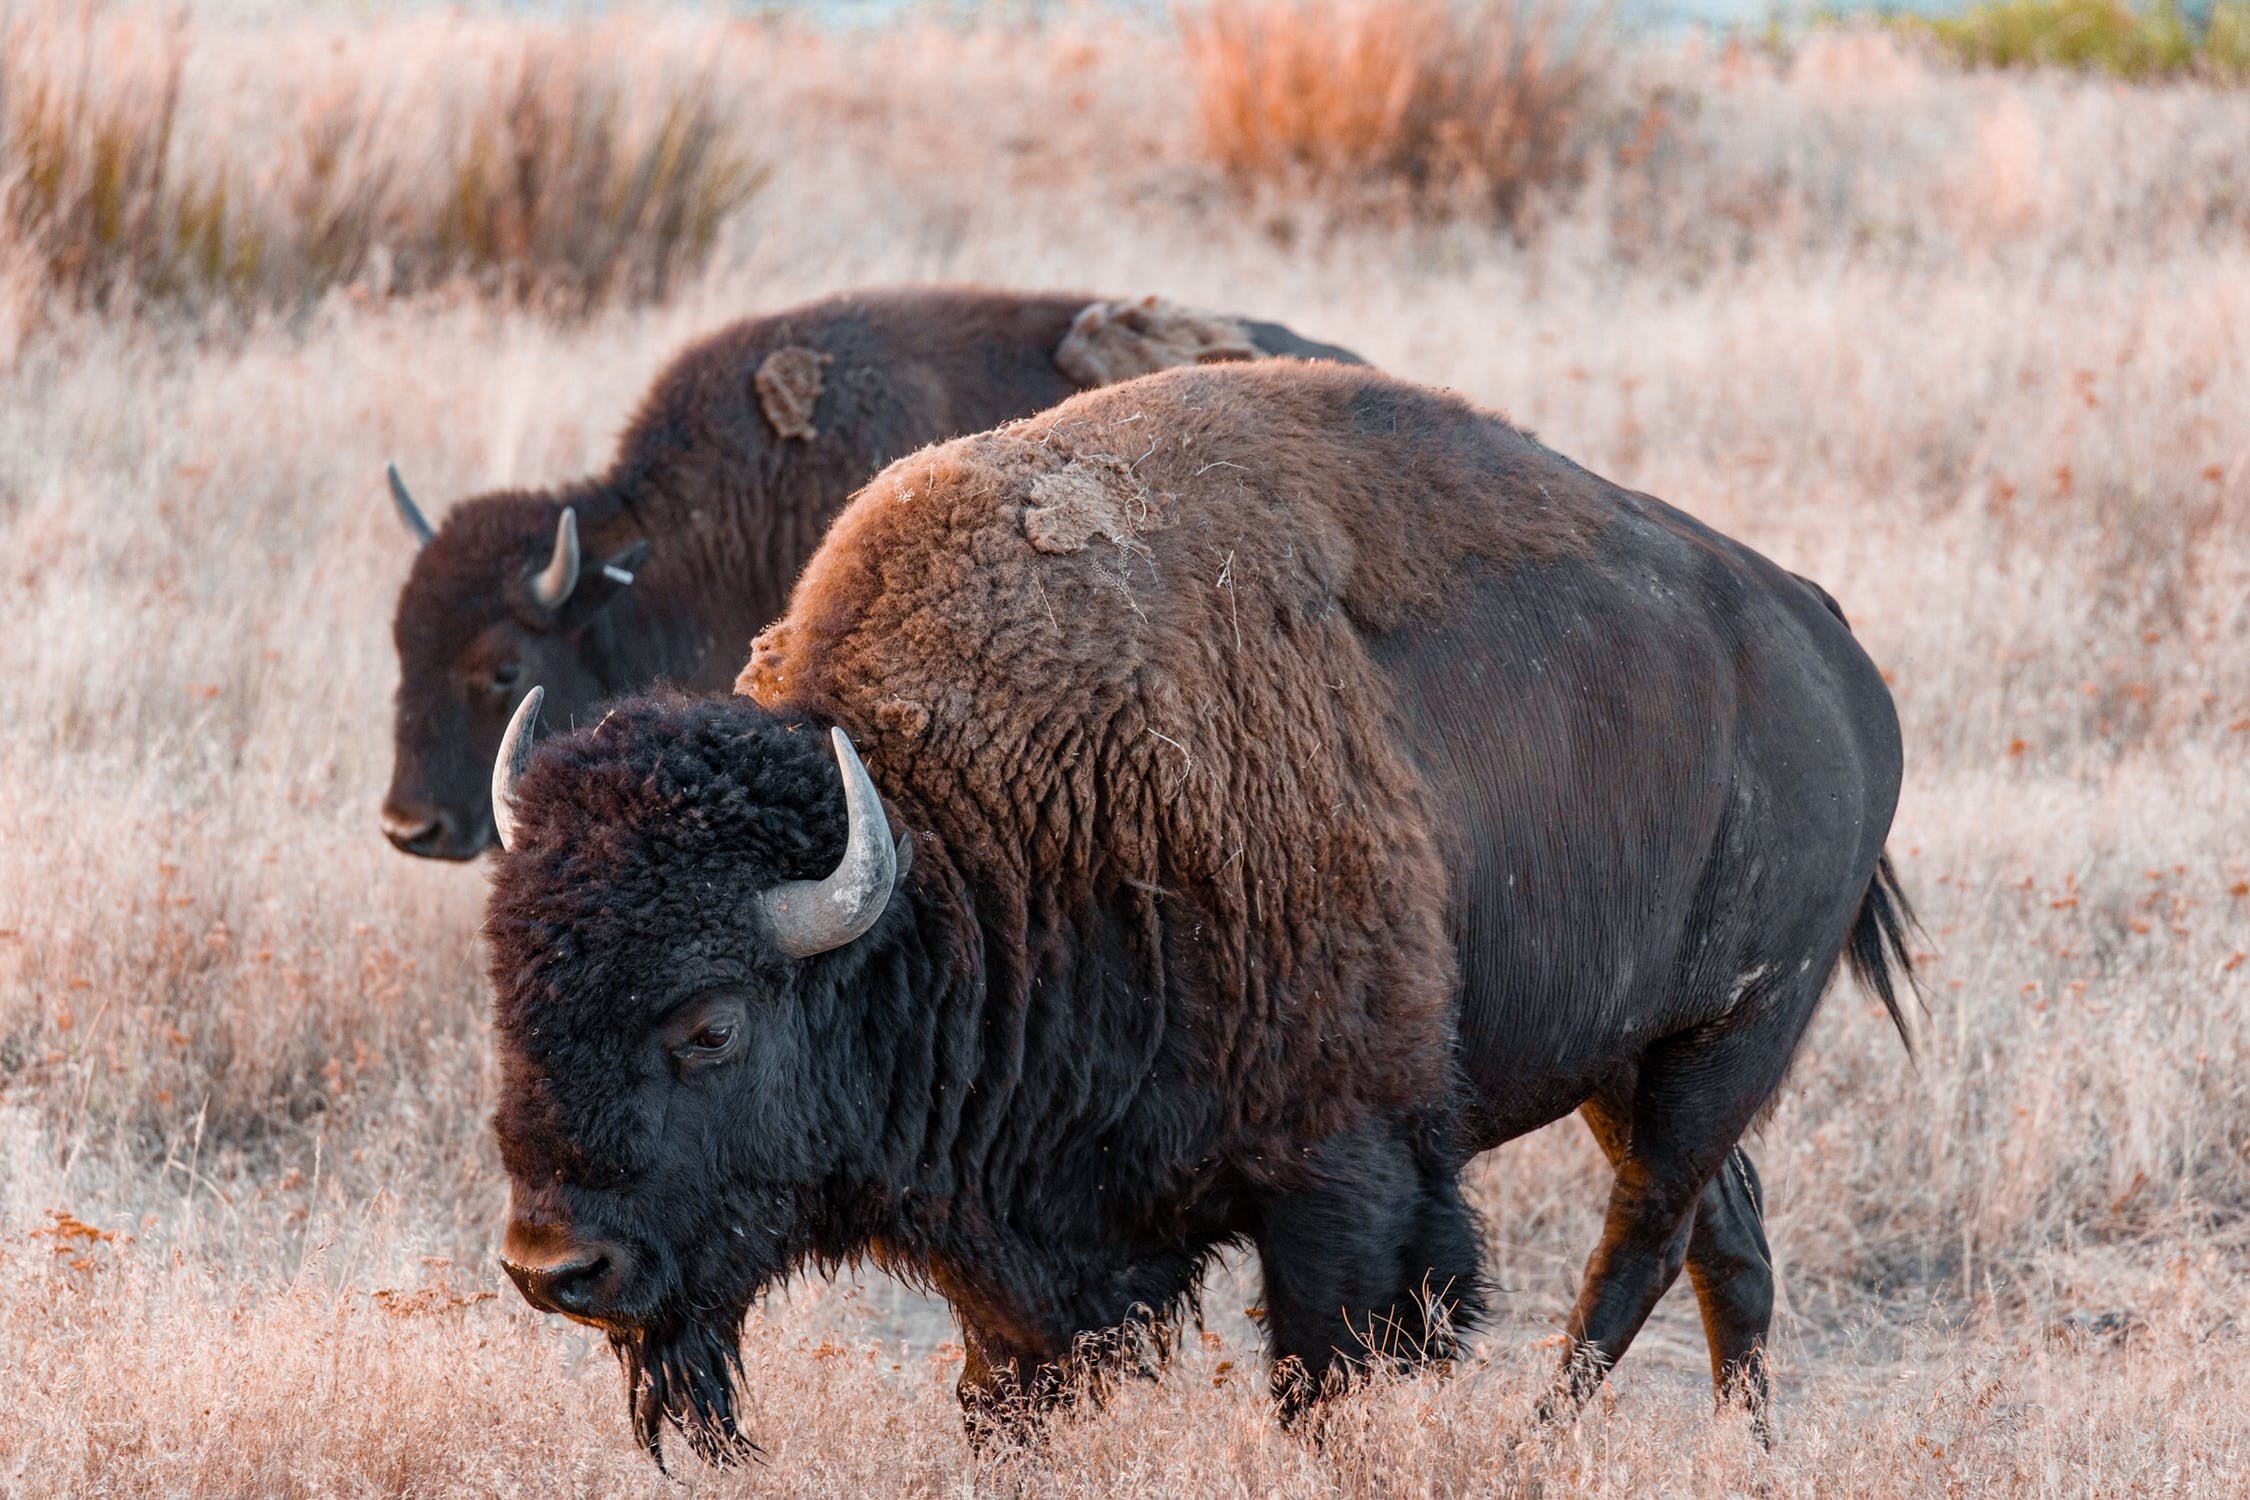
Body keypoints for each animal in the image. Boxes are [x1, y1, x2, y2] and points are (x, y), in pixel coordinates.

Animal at [483, 357, 1908, 1457]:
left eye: (711, 1026)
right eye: (510, 997)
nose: (556, 1269)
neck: (962, 843)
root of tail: (1832, 645)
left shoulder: (1348, 1179)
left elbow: (1328, 1375)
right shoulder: (1026, 1251)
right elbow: (1006, 1386)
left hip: (1725, 1039)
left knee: (1647, 1238)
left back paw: (1539, 1443)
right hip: (1628, 1059)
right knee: (1729, 1233)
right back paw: (1745, 1449)